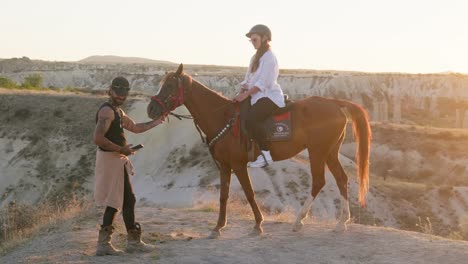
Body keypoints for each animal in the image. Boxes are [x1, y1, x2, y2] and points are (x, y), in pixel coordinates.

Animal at [148, 64, 372, 237]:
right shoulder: (225, 166)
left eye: (169, 85)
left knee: (319, 181)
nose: (151, 109)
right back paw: (341, 223)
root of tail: (336, 103)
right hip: (330, 152)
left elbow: (249, 193)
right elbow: (223, 195)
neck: (223, 118)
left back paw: (299, 221)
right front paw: (218, 227)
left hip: (318, 152)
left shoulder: (238, 165)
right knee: (342, 179)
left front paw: (257, 224)